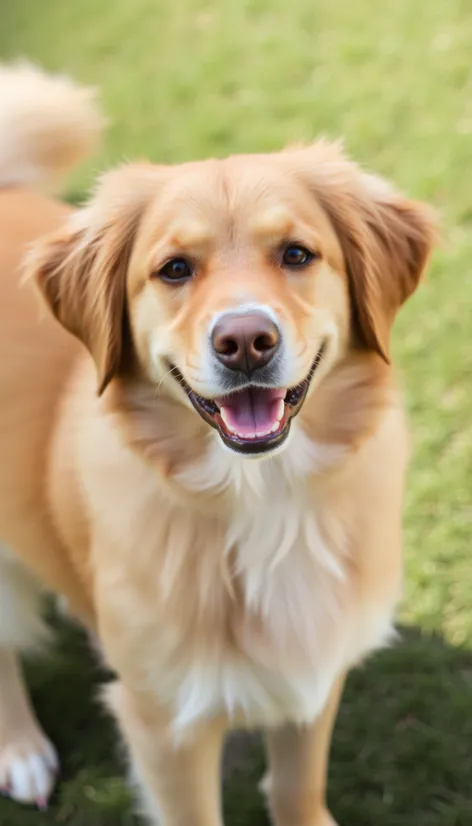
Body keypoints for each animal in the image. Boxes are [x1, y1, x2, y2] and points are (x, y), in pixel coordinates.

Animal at [0, 64, 436, 824]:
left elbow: (296, 786)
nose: (245, 341)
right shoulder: (166, 728)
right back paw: (21, 751)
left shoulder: (313, 670)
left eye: (296, 254)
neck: (266, 501)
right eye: (175, 268)